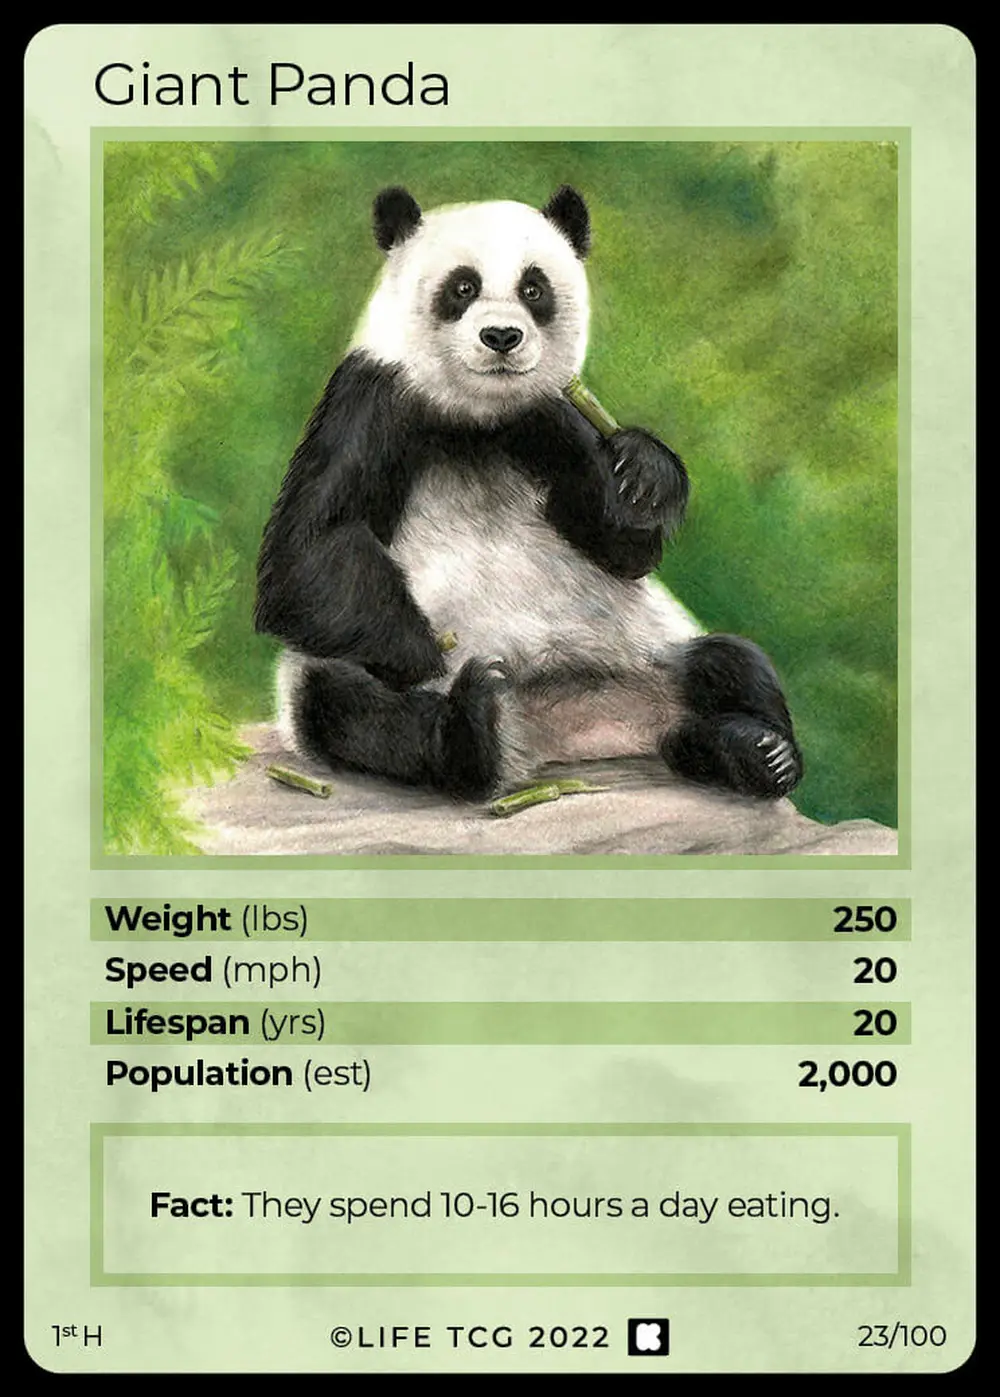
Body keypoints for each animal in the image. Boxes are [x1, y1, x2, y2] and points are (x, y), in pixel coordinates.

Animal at [254, 185, 803, 802]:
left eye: (533, 289)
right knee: (353, 708)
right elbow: (305, 556)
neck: (473, 418)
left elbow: (621, 551)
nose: (501, 337)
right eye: (463, 287)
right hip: (325, 678)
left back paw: (756, 752)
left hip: (652, 654)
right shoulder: (371, 401)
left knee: (730, 662)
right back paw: (474, 722)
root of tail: (569, 732)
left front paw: (643, 475)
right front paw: (429, 653)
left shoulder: (547, 418)